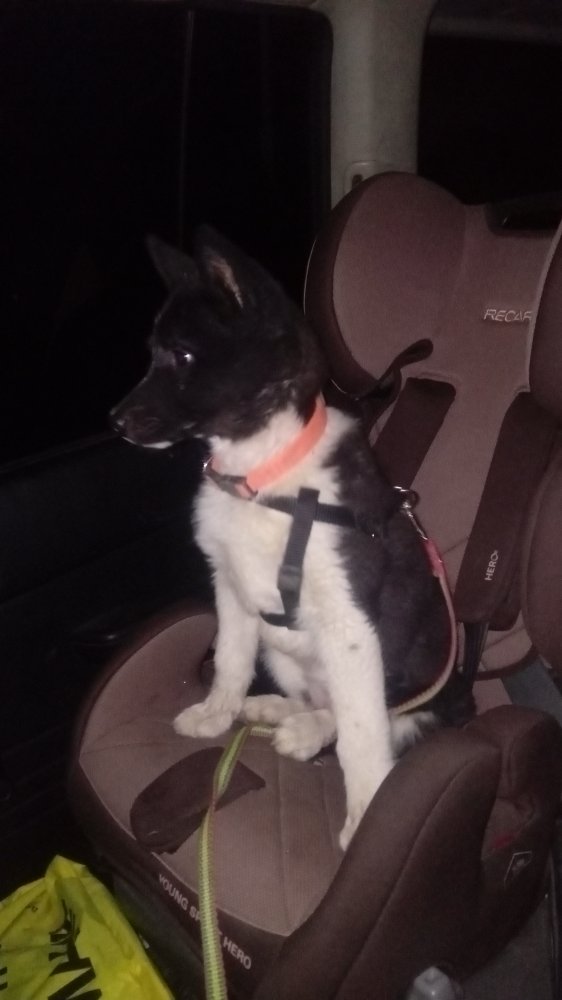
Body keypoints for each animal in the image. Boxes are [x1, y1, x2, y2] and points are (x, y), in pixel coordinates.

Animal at [111, 228, 473, 850]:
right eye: (156, 352)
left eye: (183, 356)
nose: (114, 421)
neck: (263, 475)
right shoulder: (231, 589)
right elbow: (230, 660)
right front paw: (217, 712)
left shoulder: (350, 622)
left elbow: (361, 734)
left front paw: (364, 813)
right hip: (282, 651)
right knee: (321, 699)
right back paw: (282, 714)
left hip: (412, 691)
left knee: (374, 718)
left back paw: (307, 734)